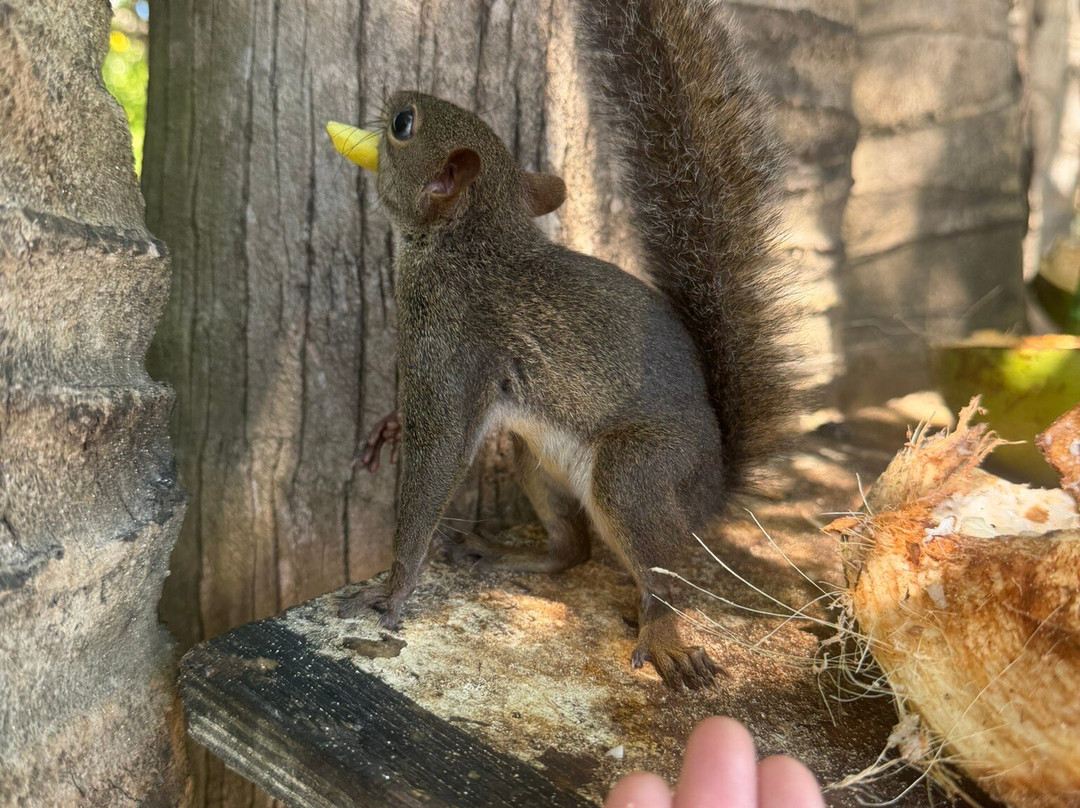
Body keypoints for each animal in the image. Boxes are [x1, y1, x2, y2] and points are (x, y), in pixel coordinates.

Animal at [332, 0, 792, 690]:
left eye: (403, 125)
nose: (395, 93)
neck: (471, 241)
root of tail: (710, 495)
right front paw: (386, 424)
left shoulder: (450, 340)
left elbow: (436, 456)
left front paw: (393, 590)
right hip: (536, 455)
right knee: (574, 552)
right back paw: (503, 553)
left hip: (636, 475)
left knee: (666, 584)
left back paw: (666, 636)